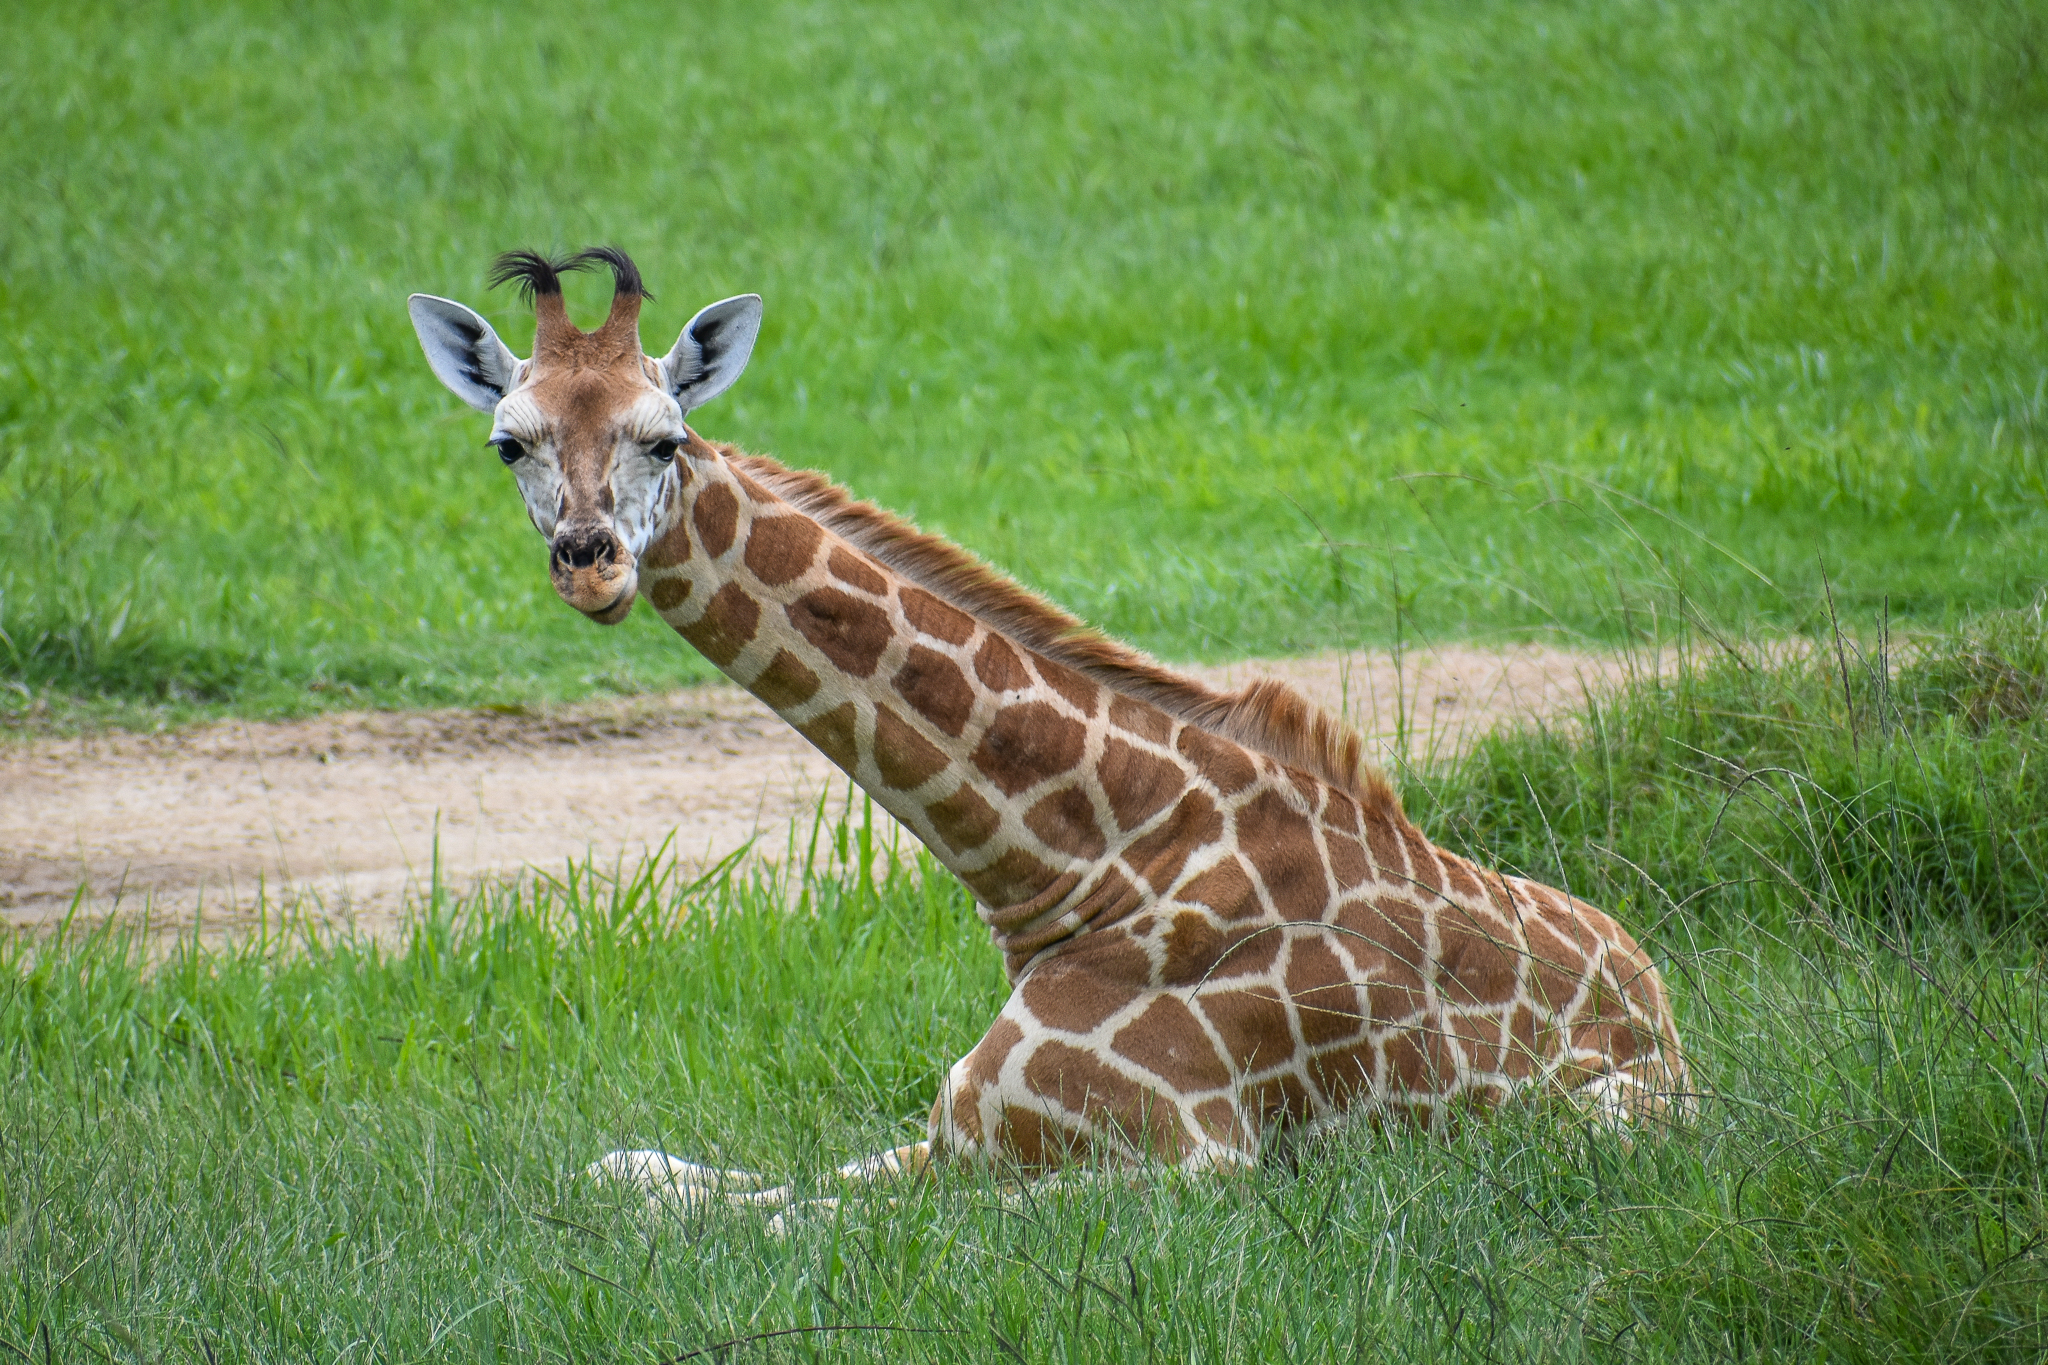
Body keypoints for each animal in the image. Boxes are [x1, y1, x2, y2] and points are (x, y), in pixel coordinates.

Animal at [408, 247, 1689, 1220]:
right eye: (510, 442)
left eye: (664, 438)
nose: (590, 564)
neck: (1066, 868)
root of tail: (1658, 993)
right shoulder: (952, 1134)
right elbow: (639, 1173)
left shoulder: (1191, 1164)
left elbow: (788, 1223)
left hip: (1604, 1123)